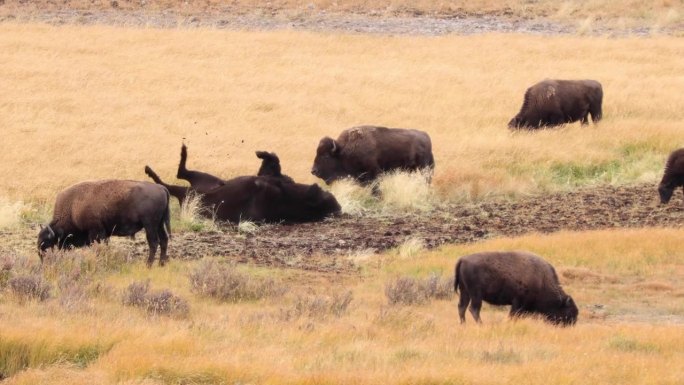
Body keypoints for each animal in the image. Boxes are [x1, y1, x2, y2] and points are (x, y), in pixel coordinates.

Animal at [37, 180, 171, 268]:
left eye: (46, 242)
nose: (41, 257)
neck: (72, 207)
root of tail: (161, 188)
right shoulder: (103, 234)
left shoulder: (95, 232)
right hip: (159, 224)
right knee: (164, 239)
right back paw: (161, 264)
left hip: (150, 225)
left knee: (153, 242)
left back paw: (148, 265)